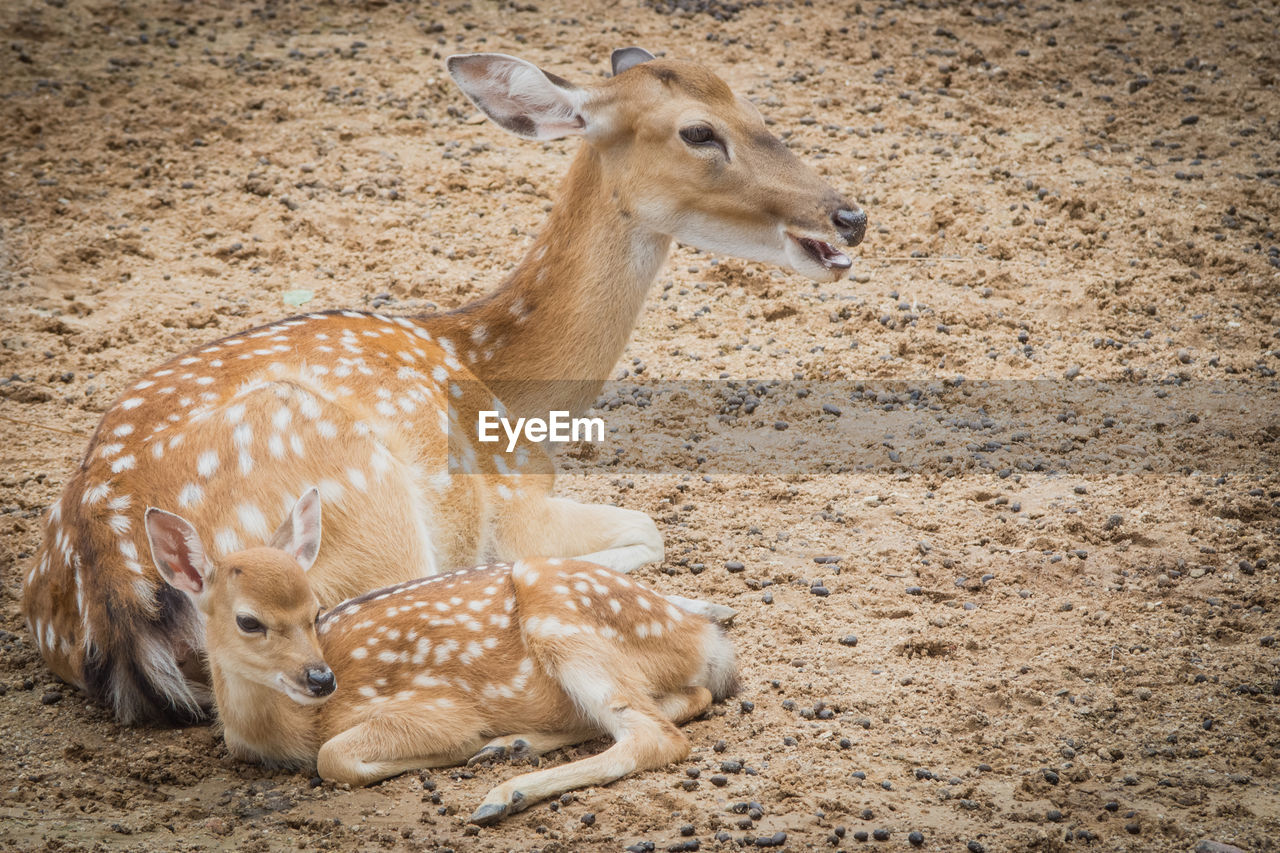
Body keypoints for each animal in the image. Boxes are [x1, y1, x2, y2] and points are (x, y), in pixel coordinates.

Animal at [20, 48, 865, 717]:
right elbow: (644, 530)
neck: (504, 383)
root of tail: (115, 592)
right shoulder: (518, 503)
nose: (848, 215)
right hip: (361, 527)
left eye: (753, 106)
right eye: (697, 131)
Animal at [144, 489, 737, 819]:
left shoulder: (434, 708)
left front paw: (461, 747)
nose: (321, 680)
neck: (282, 729)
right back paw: (511, 746)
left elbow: (333, 757)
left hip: (561, 624)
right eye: (249, 621)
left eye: (314, 610)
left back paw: (502, 793)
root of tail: (706, 639)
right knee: (683, 700)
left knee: (655, 736)